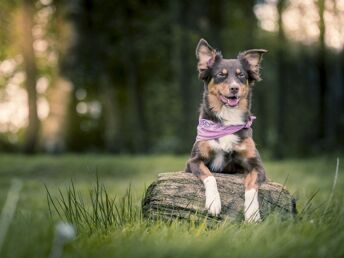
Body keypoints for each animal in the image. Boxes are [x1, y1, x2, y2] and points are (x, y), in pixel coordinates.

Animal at [187, 38, 268, 222]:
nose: (234, 88)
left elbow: (251, 186)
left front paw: (252, 213)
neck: (227, 120)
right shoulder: (194, 161)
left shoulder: (257, 165)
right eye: (221, 75)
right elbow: (210, 176)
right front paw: (213, 203)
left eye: (241, 75)